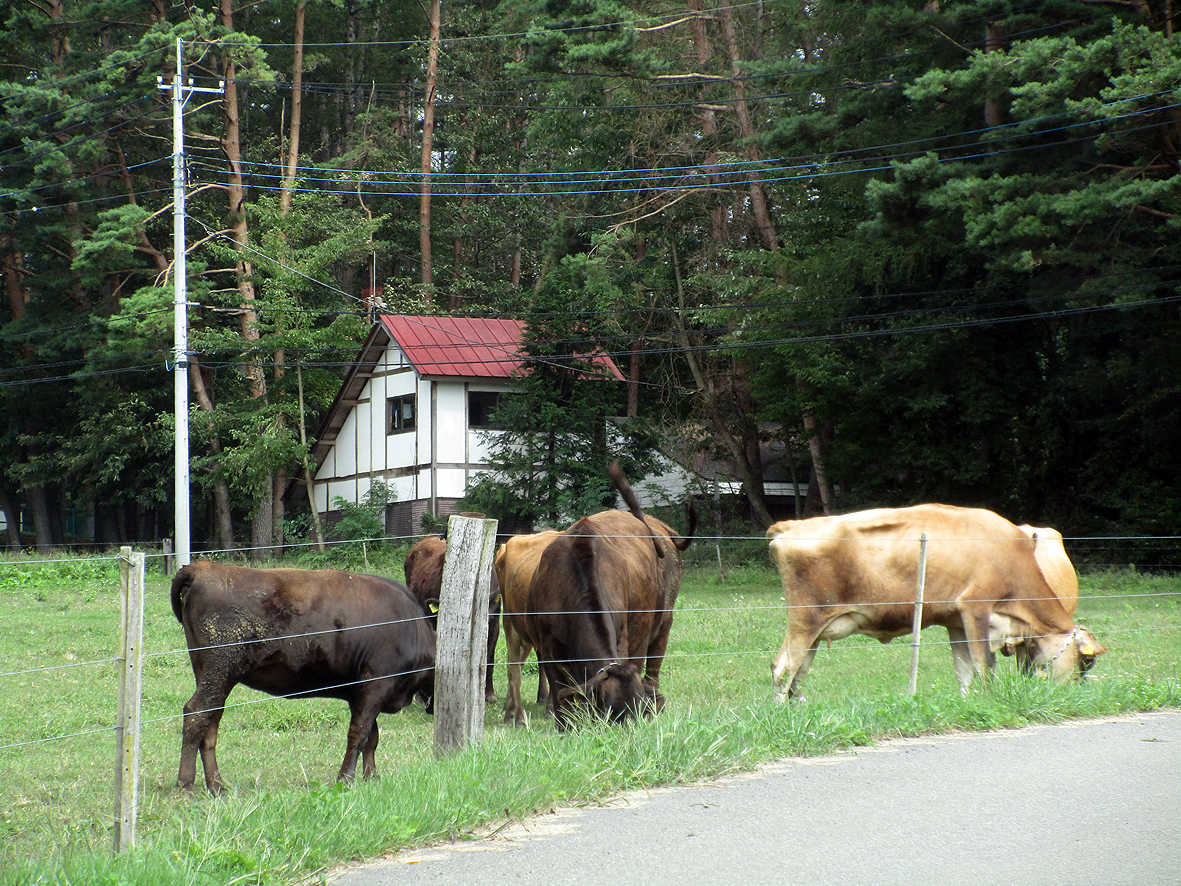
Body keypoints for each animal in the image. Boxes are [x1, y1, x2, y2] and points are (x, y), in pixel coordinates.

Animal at [171, 562, 434, 798]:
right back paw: (186, 785)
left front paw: (372, 777)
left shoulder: (359, 693)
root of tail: (201, 567)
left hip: (210, 674)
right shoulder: (376, 685)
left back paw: (217, 786)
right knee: (196, 714)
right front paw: (345, 780)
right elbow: (358, 734)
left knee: (211, 721)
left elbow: (372, 737)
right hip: (220, 671)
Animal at [522, 465, 694, 727]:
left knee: (653, 665)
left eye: (637, 711)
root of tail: (658, 526)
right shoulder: (548, 647)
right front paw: (564, 727)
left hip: (663, 620)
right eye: (611, 711)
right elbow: (560, 696)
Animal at [765, 505, 1105, 699]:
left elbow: (964, 671)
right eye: (1085, 661)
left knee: (797, 673)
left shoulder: (956, 621)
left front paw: (968, 702)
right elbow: (984, 666)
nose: (1074, 693)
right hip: (806, 620)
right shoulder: (976, 608)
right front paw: (990, 700)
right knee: (783, 668)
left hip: (815, 630)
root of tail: (789, 525)